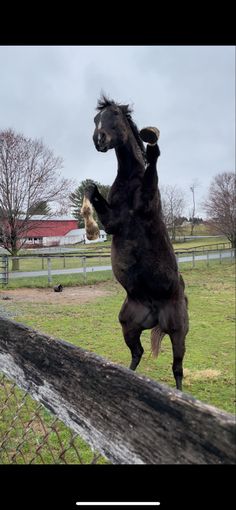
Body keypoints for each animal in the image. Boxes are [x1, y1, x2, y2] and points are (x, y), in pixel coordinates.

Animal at [82, 95, 189, 390]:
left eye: (116, 114)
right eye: (95, 119)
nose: (99, 139)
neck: (130, 181)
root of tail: (153, 309)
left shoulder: (147, 205)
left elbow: (153, 161)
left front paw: (151, 140)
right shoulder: (113, 222)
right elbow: (90, 190)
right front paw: (90, 230)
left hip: (178, 331)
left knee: (178, 368)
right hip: (128, 325)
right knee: (138, 353)